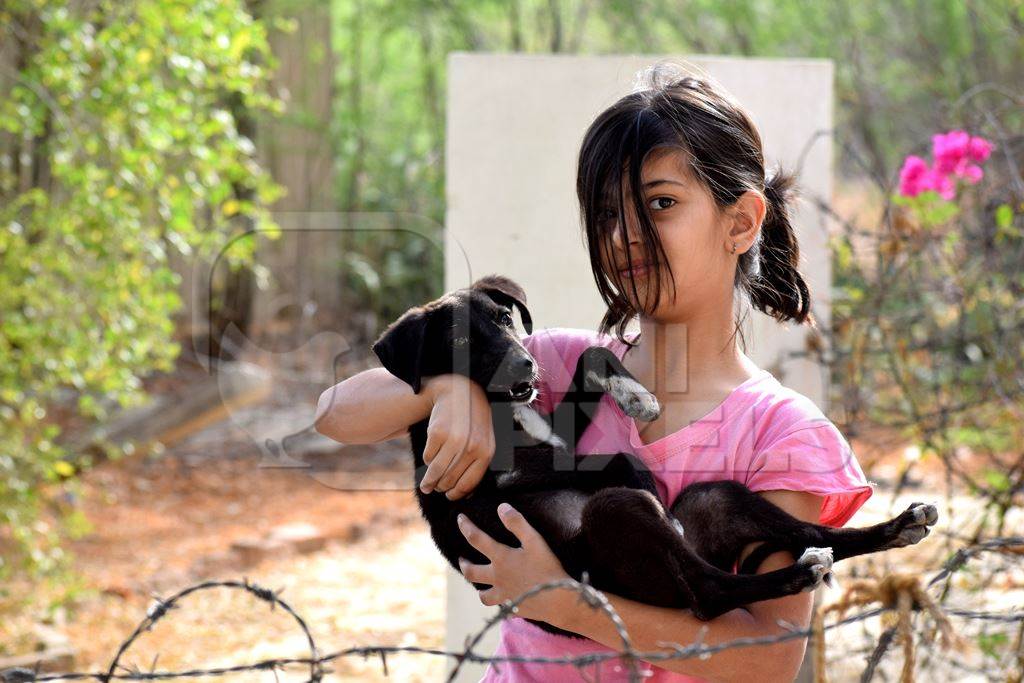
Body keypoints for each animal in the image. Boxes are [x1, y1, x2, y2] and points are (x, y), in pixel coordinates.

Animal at [372, 274, 937, 638]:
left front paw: (636, 396)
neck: (499, 408)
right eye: (461, 339)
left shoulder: (556, 430)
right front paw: (640, 458)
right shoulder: (498, 477)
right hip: (620, 513)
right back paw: (800, 572)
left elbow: (592, 355)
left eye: (505, 317)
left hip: (717, 498)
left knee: (810, 532)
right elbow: (611, 460)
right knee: (709, 593)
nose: (526, 365)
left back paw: (897, 527)